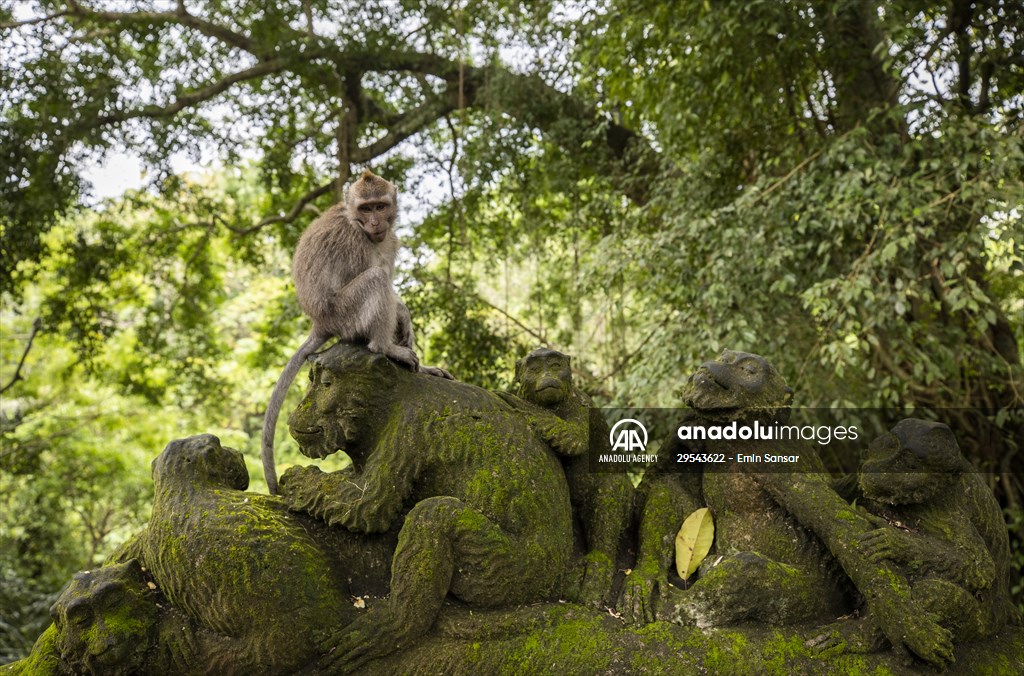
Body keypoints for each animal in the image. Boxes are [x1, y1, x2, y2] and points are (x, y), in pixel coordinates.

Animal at [261, 169, 450, 495]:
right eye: (366, 208)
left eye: (380, 206)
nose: (375, 223)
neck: (358, 224)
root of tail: (320, 323)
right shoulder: (354, 243)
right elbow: (371, 277)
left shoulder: (390, 240)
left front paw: (403, 313)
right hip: (344, 315)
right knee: (374, 280)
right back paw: (384, 347)